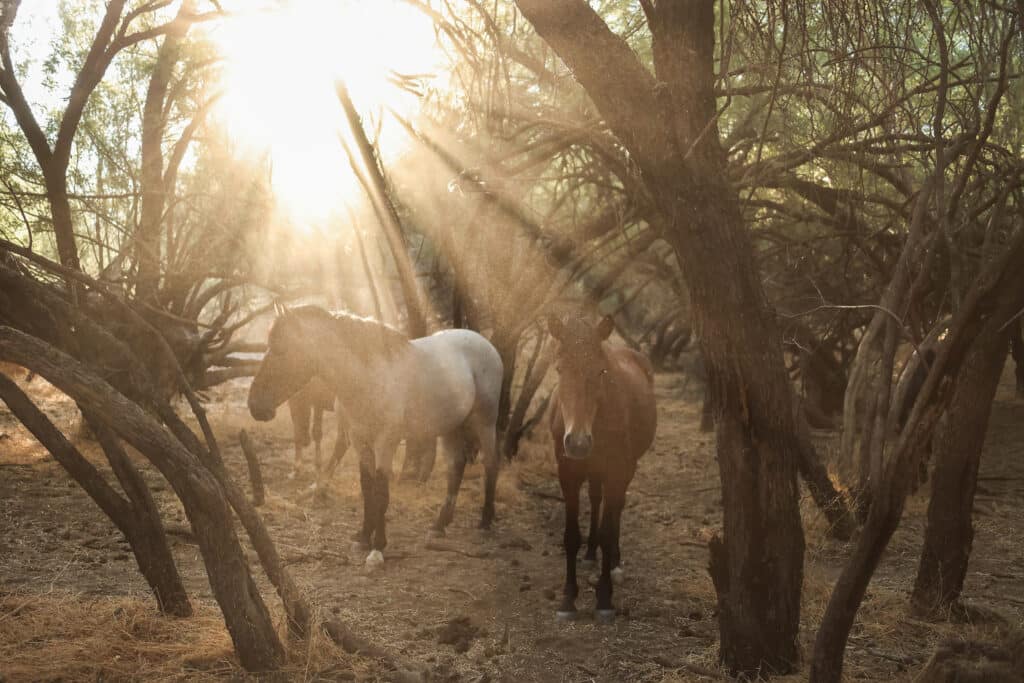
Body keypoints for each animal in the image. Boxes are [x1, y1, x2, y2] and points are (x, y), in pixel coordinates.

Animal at [247, 307, 503, 569]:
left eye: (282, 349)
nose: (255, 405)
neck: (368, 379)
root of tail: (485, 343)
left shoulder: (385, 443)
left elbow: (381, 491)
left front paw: (377, 548)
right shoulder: (360, 441)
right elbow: (367, 488)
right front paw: (362, 538)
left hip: (485, 422)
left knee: (491, 464)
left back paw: (485, 521)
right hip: (452, 426)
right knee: (456, 467)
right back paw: (439, 525)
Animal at [552, 315, 655, 626]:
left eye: (600, 371)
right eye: (559, 368)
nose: (578, 442)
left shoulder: (617, 471)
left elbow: (609, 532)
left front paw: (604, 598)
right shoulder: (568, 473)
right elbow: (571, 536)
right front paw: (567, 599)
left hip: (623, 470)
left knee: (615, 509)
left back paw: (615, 565)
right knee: (597, 500)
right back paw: (590, 553)